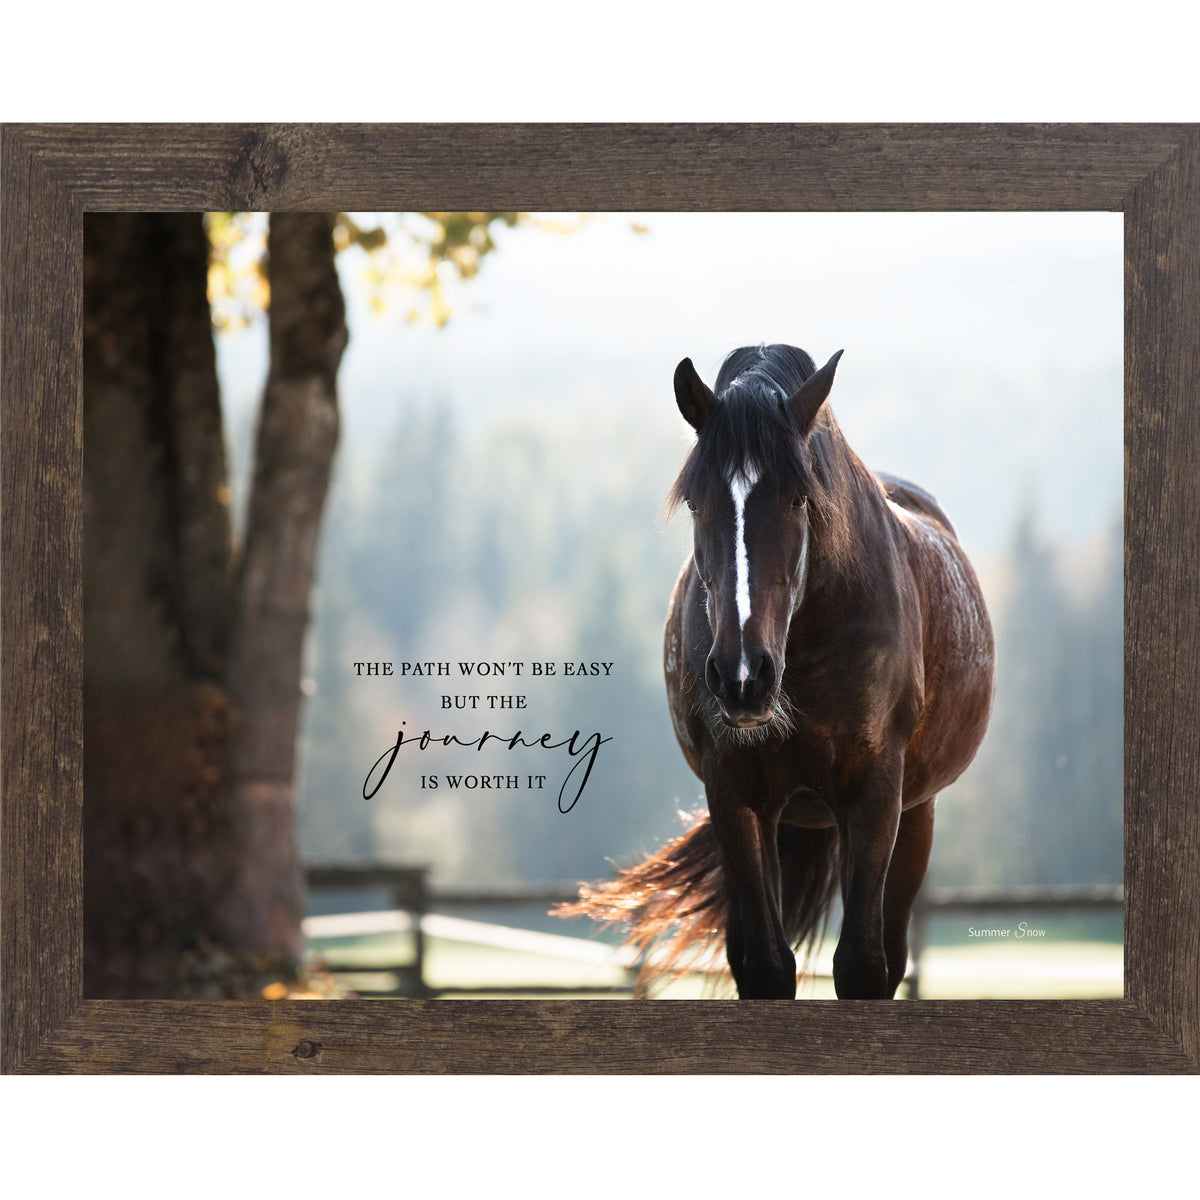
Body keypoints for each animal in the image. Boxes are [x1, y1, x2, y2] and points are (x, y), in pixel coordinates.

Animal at [562, 344, 995, 999]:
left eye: (799, 497)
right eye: (697, 502)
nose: (743, 676)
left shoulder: (875, 795)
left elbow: (863, 966)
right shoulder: (736, 796)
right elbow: (766, 966)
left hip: (916, 814)